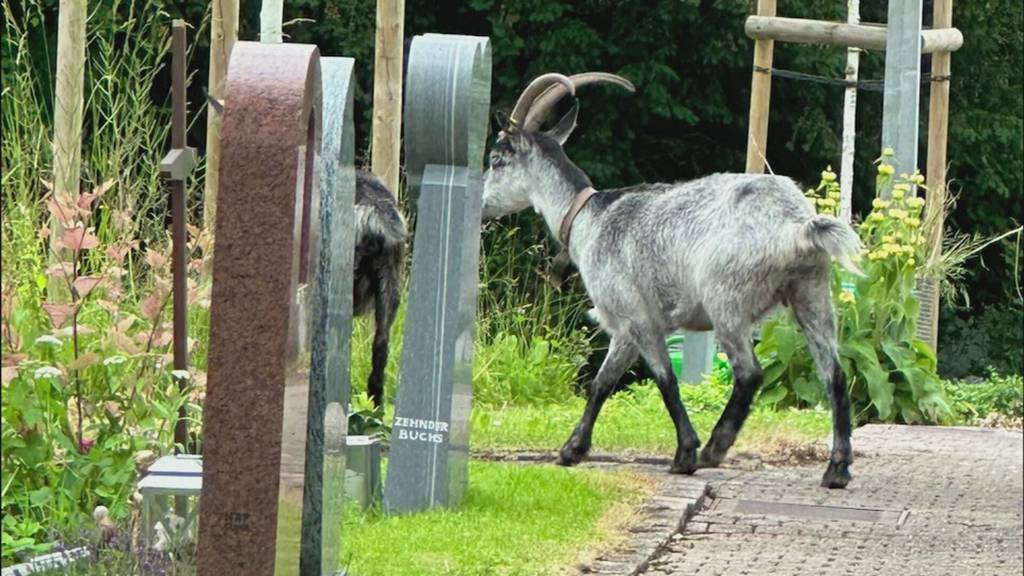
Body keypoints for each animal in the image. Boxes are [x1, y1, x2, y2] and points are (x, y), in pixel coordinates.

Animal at [481, 70, 864, 483]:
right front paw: (572, 449)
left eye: (496, 159)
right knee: (834, 374)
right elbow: (602, 383)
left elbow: (665, 381)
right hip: (811, 292)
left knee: (749, 373)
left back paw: (714, 447)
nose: (482, 205)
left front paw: (685, 453)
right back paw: (837, 469)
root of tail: (796, 223)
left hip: (727, 299)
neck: (588, 218)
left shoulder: (637, 317)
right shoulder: (625, 330)